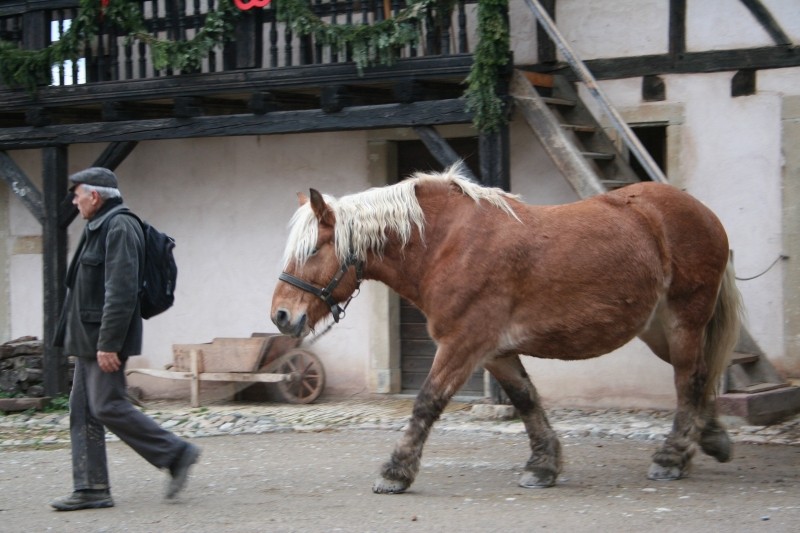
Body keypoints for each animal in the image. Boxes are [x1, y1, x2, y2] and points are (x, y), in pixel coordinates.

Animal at [270, 164, 744, 492]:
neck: (447, 244)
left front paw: (396, 471)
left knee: (688, 380)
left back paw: (672, 456)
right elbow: (526, 400)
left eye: (313, 250)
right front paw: (543, 465)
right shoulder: (494, 351)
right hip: (658, 328)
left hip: (685, 319)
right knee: (699, 376)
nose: (281, 316)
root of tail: (705, 214)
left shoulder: (462, 344)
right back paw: (711, 438)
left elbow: (427, 403)